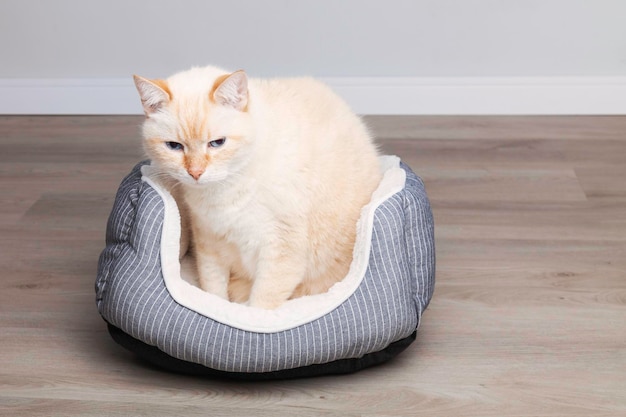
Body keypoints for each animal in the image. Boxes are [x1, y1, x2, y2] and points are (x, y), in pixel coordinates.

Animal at [132, 66, 380, 308]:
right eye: (174, 146)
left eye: (217, 143)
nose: (195, 173)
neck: (223, 190)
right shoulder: (208, 242)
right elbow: (214, 292)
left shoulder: (281, 248)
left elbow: (260, 307)